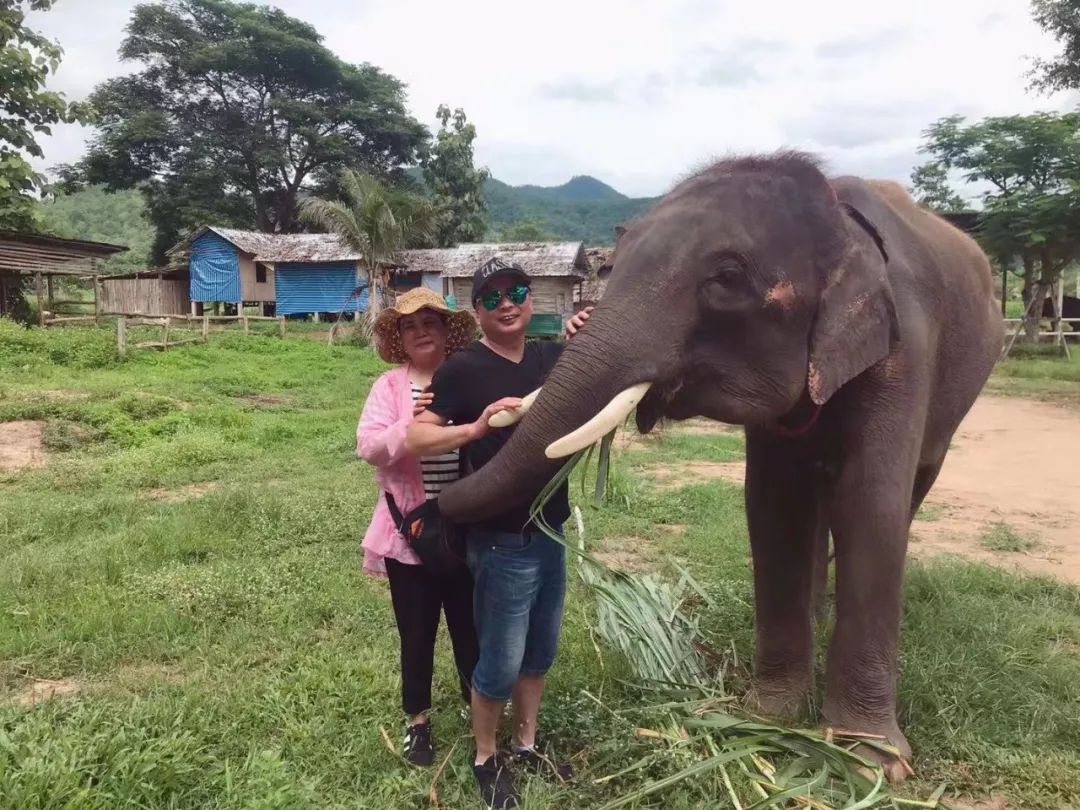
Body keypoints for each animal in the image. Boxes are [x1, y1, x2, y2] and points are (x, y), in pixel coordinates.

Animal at [436, 151, 1002, 781]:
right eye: (612, 266)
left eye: (727, 278)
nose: (430, 509)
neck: (837, 218)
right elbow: (773, 506)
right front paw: (771, 717)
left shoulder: (903, 351)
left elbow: (870, 506)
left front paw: (869, 761)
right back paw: (818, 615)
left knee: (908, 491)